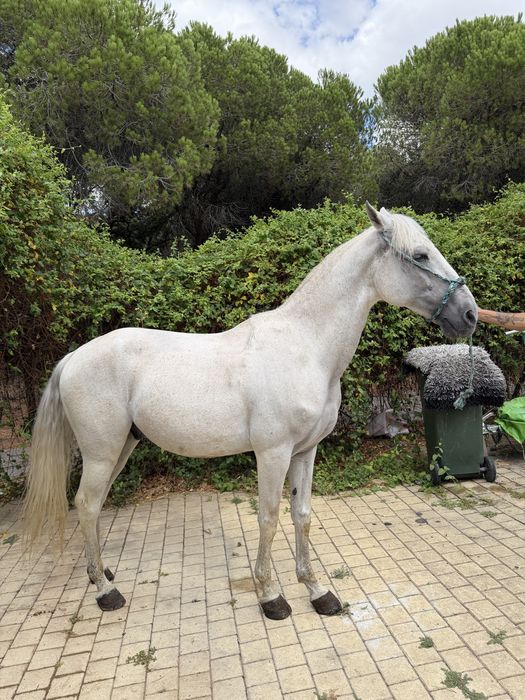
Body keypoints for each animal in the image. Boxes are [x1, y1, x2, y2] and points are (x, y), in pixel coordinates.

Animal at [22, 203, 477, 619]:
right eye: (420, 255)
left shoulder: (305, 452)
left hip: (121, 448)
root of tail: (73, 358)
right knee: (86, 504)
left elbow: (302, 515)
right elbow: (269, 518)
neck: (305, 346)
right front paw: (270, 596)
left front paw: (317, 592)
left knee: (94, 507)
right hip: (102, 452)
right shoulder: (273, 453)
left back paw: (102, 574)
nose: (470, 314)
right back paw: (105, 592)